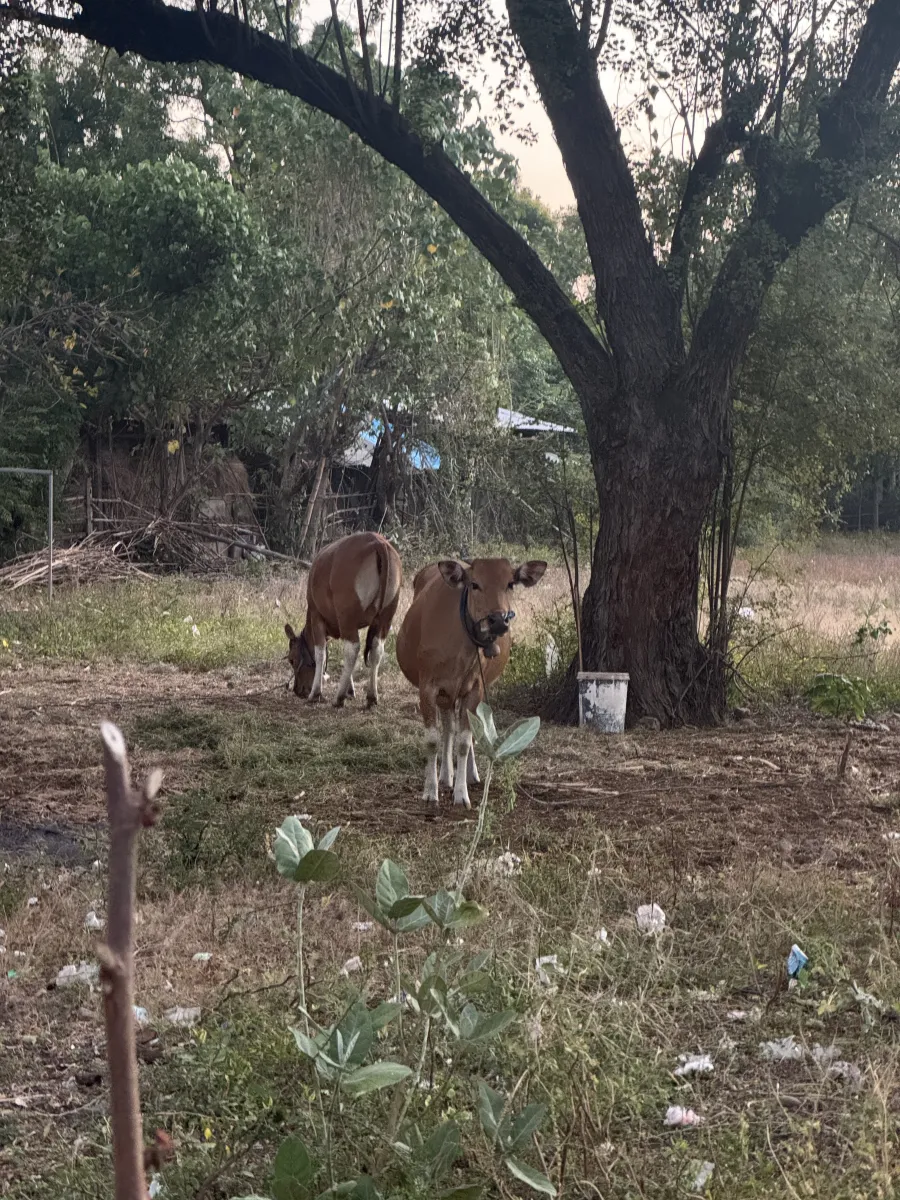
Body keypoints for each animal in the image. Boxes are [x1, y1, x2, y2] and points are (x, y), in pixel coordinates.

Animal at [284, 531, 402, 708]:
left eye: (292, 660)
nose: (298, 690)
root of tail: (378, 541)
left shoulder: (316, 616)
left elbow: (320, 653)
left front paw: (316, 692)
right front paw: (350, 690)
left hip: (347, 616)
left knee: (353, 649)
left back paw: (338, 698)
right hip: (385, 616)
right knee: (376, 649)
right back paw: (371, 696)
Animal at [396, 556, 547, 807]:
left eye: (510, 583)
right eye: (474, 584)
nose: (497, 620)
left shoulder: (475, 688)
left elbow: (465, 741)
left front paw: (461, 794)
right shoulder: (428, 687)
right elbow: (432, 740)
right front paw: (430, 791)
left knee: (462, 728)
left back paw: (468, 774)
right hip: (445, 694)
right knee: (448, 727)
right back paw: (445, 775)